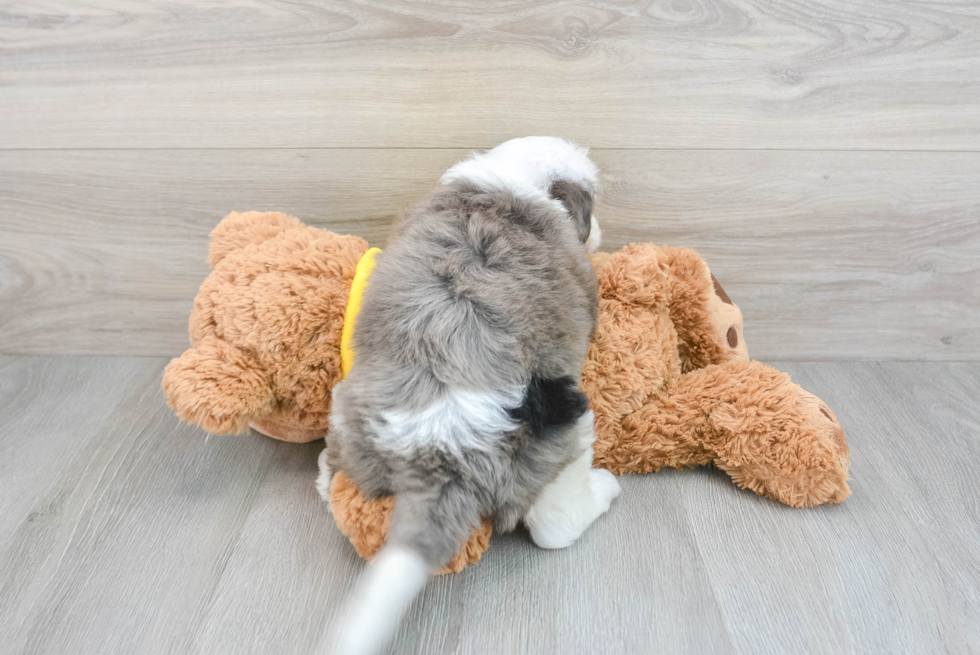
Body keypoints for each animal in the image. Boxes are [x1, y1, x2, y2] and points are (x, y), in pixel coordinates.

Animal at [314, 137, 620, 655]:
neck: (511, 178)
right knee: (554, 524)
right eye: (591, 208)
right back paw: (604, 489)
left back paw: (323, 472)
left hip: (348, 414)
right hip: (566, 426)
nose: (597, 230)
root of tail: (439, 450)